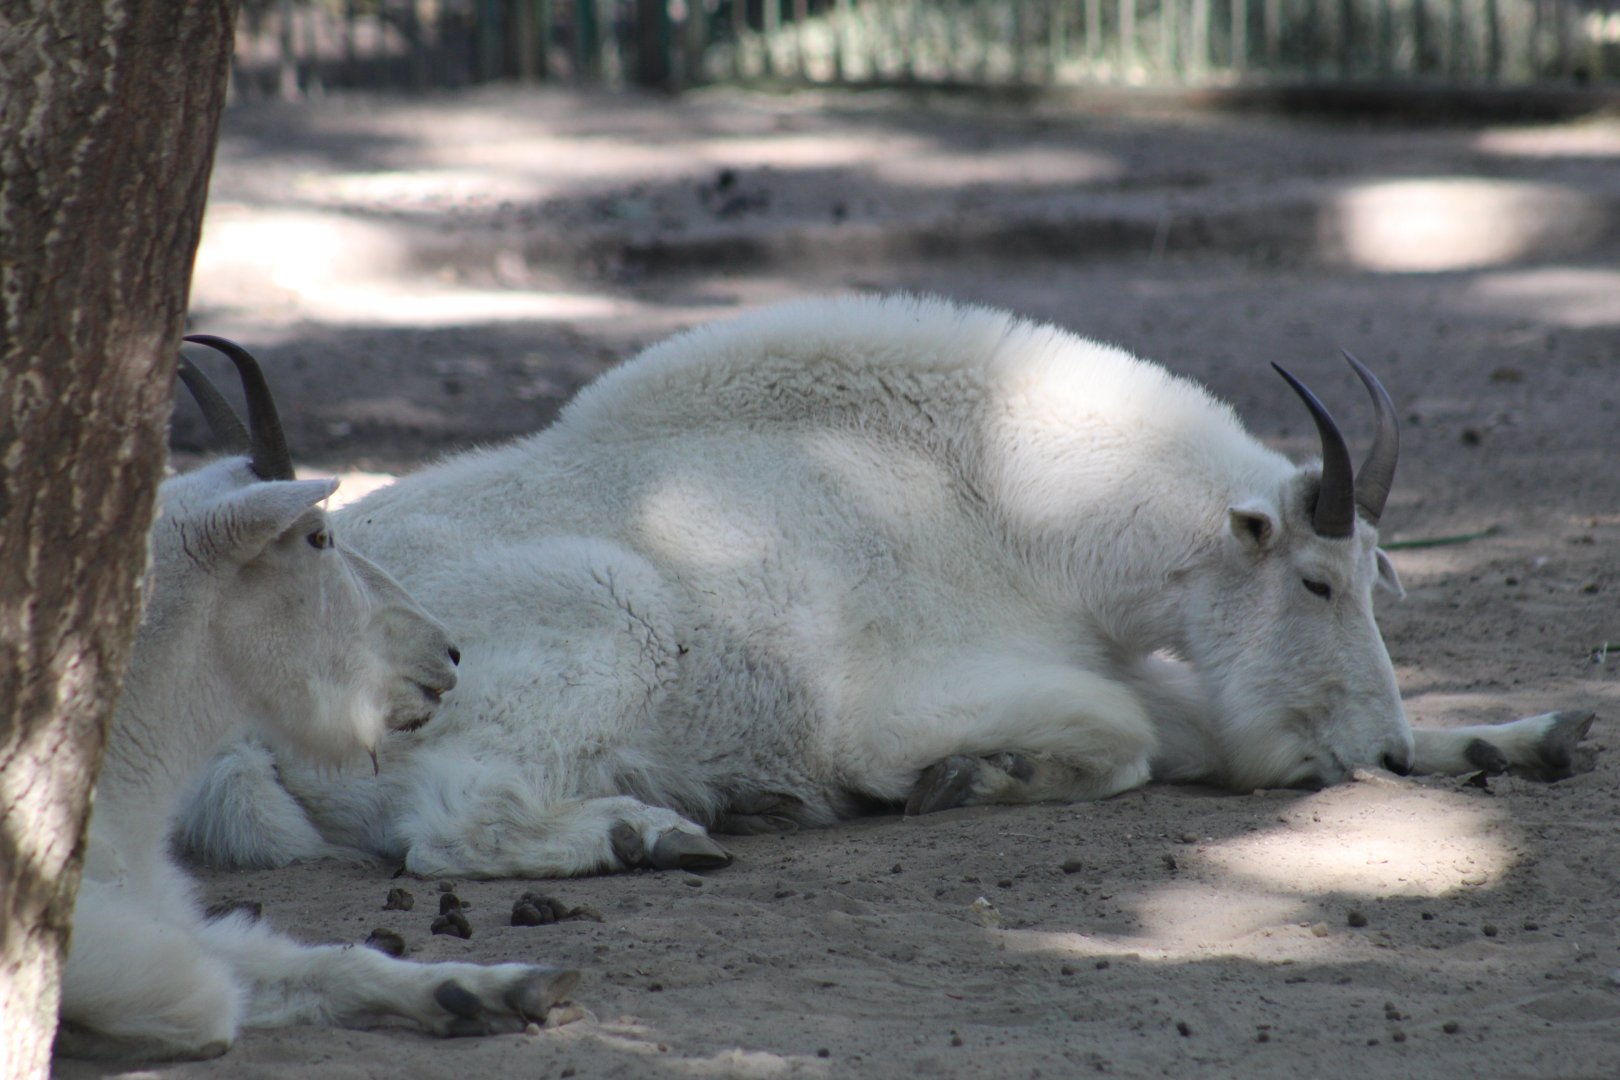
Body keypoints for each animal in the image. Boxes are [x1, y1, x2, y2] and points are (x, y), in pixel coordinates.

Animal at [176, 295, 1594, 882]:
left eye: (1376, 580)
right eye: (1311, 580)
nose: (1381, 752)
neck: (1004, 498)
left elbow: (1198, 732)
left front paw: (1527, 735)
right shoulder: (912, 701)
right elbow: (1132, 744)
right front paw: (967, 783)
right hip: (591, 622)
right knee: (445, 830)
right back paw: (651, 833)